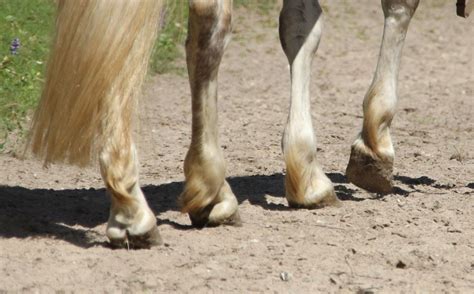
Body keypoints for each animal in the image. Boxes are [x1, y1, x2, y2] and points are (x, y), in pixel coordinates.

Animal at [26, 0, 470, 248]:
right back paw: (200, 188)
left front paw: (305, 173)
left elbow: (301, 24)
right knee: (210, 22)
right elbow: (400, 5)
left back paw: (132, 207)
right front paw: (374, 145)